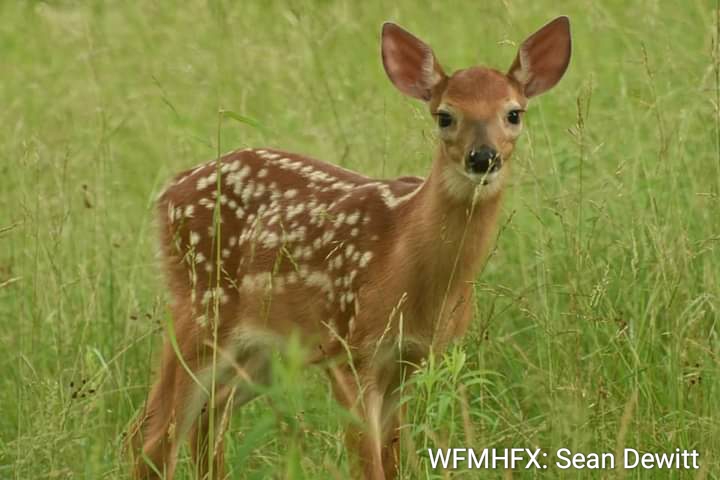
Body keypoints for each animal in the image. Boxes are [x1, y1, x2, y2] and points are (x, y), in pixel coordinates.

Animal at [130, 16, 571, 480]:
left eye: (513, 113)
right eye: (445, 116)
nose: (483, 157)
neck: (406, 257)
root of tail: (168, 191)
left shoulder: (413, 360)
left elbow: (394, 462)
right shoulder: (349, 350)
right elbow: (368, 465)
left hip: (259, 348)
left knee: (208, 417)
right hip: (200, 311)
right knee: (151, 434)